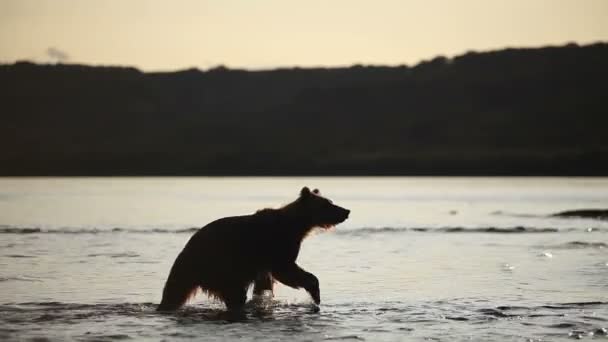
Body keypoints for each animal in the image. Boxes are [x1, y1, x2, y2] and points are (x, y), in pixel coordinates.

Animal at [157, 186, 350, 312]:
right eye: (328, 204)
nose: (346, 211)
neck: (297, 226)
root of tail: (186, 251)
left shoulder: (264, 260)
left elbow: (266, 280)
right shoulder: (277, 245)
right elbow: (287, 270)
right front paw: (315, 293)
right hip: (221, 265)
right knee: (234, 292)